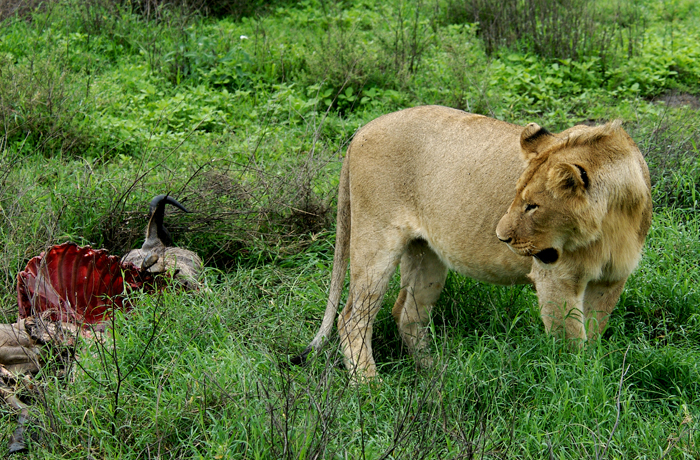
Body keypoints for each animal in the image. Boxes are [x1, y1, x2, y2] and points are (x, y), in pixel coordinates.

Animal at [294, 106, 652, 380]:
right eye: (516, 194)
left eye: (532, 206)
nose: (501, 237)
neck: (611, 220)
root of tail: (363, 128)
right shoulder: (556, 280)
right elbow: (571, 344)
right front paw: (575, 385)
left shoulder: (611, 281)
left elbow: (593, 334)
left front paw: (591, 374)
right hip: (376, 241)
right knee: (351, 318)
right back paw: (369, 386)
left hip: (427, 255)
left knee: (407, 312)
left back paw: (435, 371)